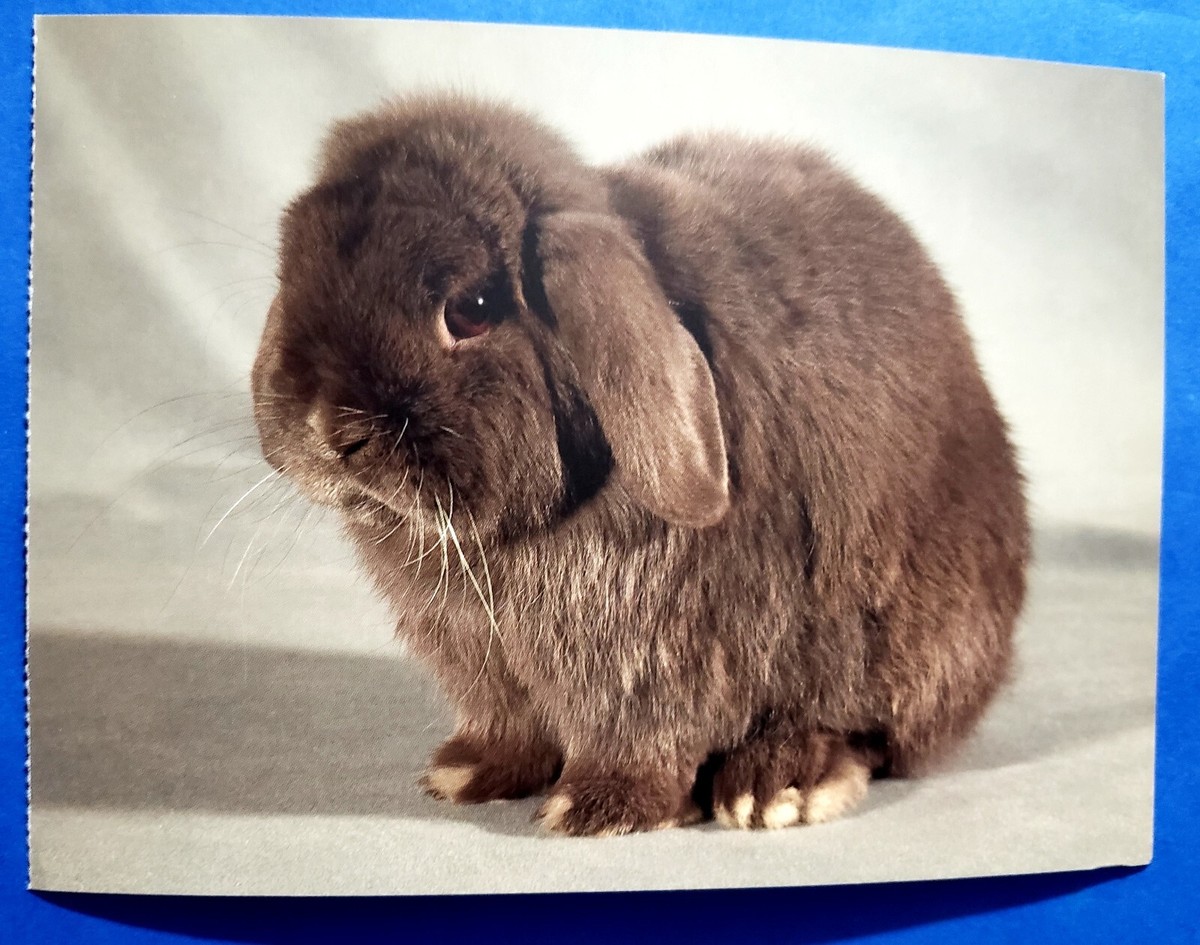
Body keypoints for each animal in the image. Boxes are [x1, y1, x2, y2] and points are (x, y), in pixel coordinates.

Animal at [251, 93, 1030, 837]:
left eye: (471, 307)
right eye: (294, 270)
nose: (328, 430)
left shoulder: (655, 658)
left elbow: (642, 734)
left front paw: (597, 808)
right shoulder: (485, 663)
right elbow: (511, 726)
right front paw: (467, 772)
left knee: (864, 732)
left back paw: (775, 788)